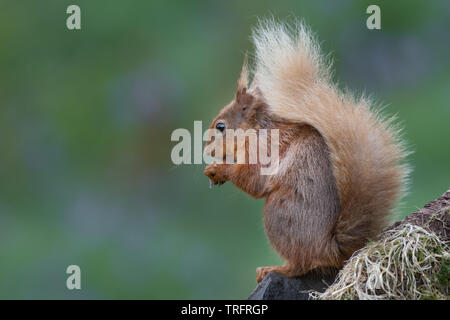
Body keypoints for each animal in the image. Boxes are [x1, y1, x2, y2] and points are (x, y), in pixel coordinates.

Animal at [204, 20, 408, 282]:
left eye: (221, 126)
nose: (206, 147)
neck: (257, 129)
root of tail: (331, 248)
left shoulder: (264, 148)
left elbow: (253, 180)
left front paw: (218, 170)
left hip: (279, 215)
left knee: (301, 264)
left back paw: (275, 269)